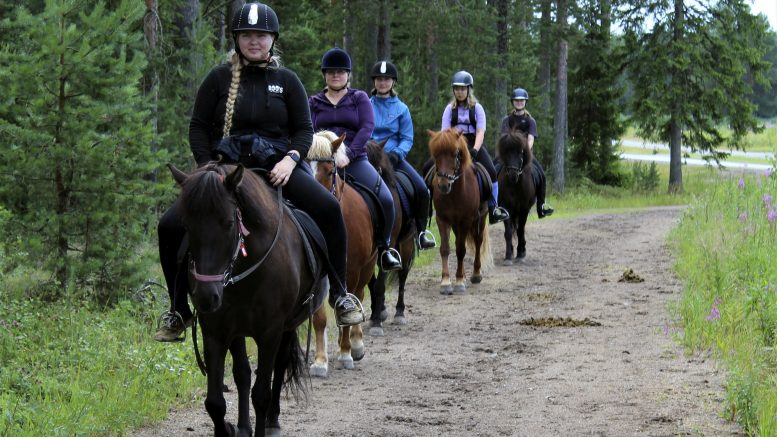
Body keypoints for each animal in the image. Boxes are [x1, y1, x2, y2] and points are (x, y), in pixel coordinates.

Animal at [168, 163, 326, 436]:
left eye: (229, 222)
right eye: (186, 225)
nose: (206, 297)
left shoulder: (270, 332)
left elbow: (261, 394)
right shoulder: (216, 331)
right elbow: (215, 402)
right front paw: (228, 429)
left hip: (287, 326)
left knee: (280, 366)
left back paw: (272, 422)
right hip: (238, 330)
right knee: (242, 373)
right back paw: (243, 426)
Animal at [304, 131, 378, 376]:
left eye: (329, 172)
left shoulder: (351, 271)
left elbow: (348, 305)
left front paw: (346, 352)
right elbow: (319, 318)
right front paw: (319, 361)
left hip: (367, 266)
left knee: (359, 296)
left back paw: (355, 345)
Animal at [366, 138, 418, 336]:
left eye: (378, 169)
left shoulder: (386, 248)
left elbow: (380, 284)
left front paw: (376, 322)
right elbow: (372, 283)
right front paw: (376, 312)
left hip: (406, 244)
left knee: (403, 276)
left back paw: (399, 313)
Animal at [424, 129, 492, 292]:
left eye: (455, 154)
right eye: (435, 155)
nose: (444, 185)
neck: (455, 193)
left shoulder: (466, 220)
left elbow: (461, 249)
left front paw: (460, 281)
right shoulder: (442, 219)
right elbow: (445, 248)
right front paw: (446, 281)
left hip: (480, 217)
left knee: (478, 241)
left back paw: (475, 274)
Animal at [494, 126, 536, 262]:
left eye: (520, 152)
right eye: (506, 152)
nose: (513, 175)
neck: (516, 185)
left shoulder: (524, 209)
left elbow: (520, 230)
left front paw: (521, 253)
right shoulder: (506, 207)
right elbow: (508, 231)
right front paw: (508, 255)